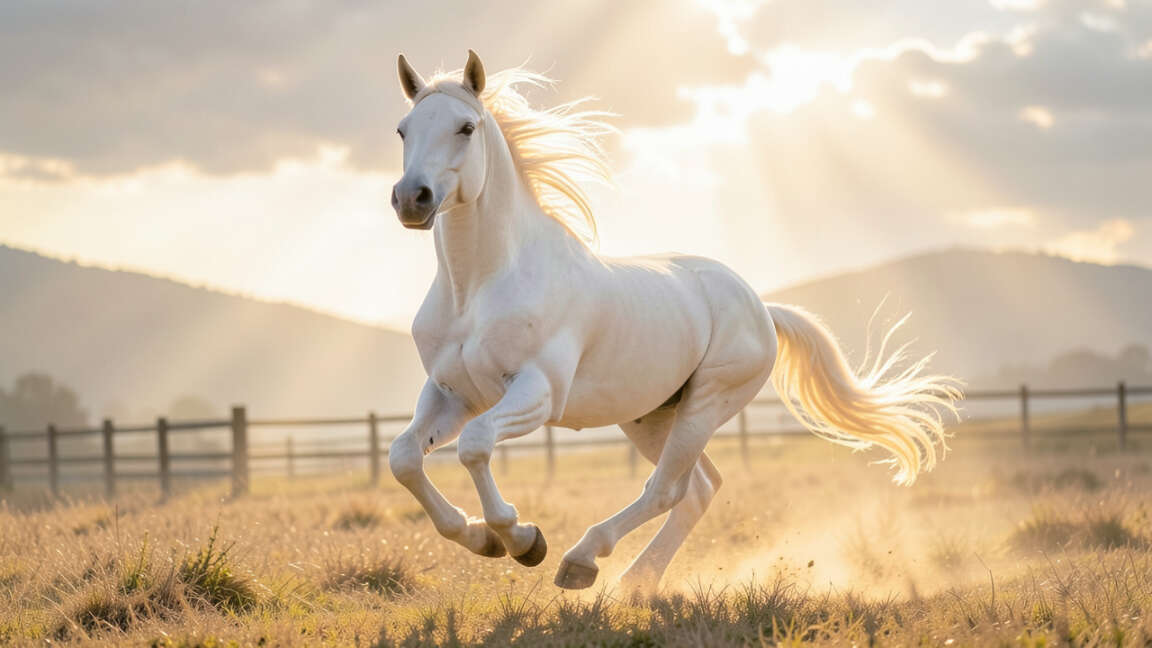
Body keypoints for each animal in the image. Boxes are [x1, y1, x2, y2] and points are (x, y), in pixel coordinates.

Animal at [386, 50, 961, 592]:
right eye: (403, 129)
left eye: (466, 127)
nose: (412, 199)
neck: (478, 287)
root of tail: (761, 308)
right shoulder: (452, 393)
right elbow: (404, 457)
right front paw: (479, 537)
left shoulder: (536, 392)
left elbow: (475, 445)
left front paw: (522, 538)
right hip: (652, 415)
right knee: (698, 488)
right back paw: (632, 583)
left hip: (706, 404)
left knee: (668, 488)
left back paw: (582, 560)